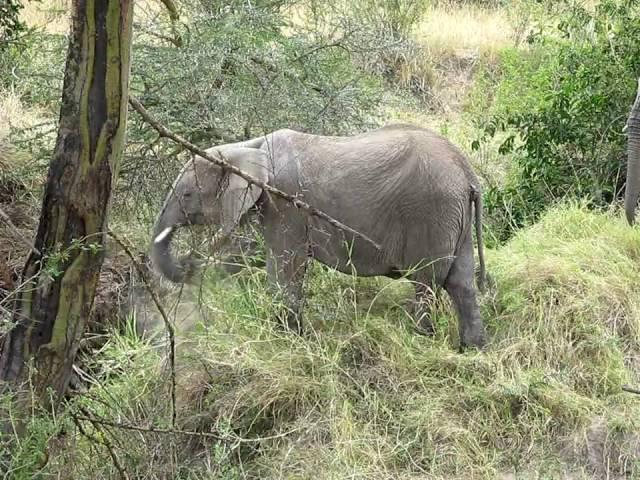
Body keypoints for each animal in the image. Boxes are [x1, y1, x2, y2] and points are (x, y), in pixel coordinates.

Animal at [150, 124, 488, 348]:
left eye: (187, 194)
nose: (189, 258)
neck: (248, 147)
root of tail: (468, 174)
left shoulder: (286, 205)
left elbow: (285, 268)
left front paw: (288, 342)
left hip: (432, 211)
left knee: (426, 283)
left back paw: (422, 342)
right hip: (455, 216)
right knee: (461, 283)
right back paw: (471, 350)